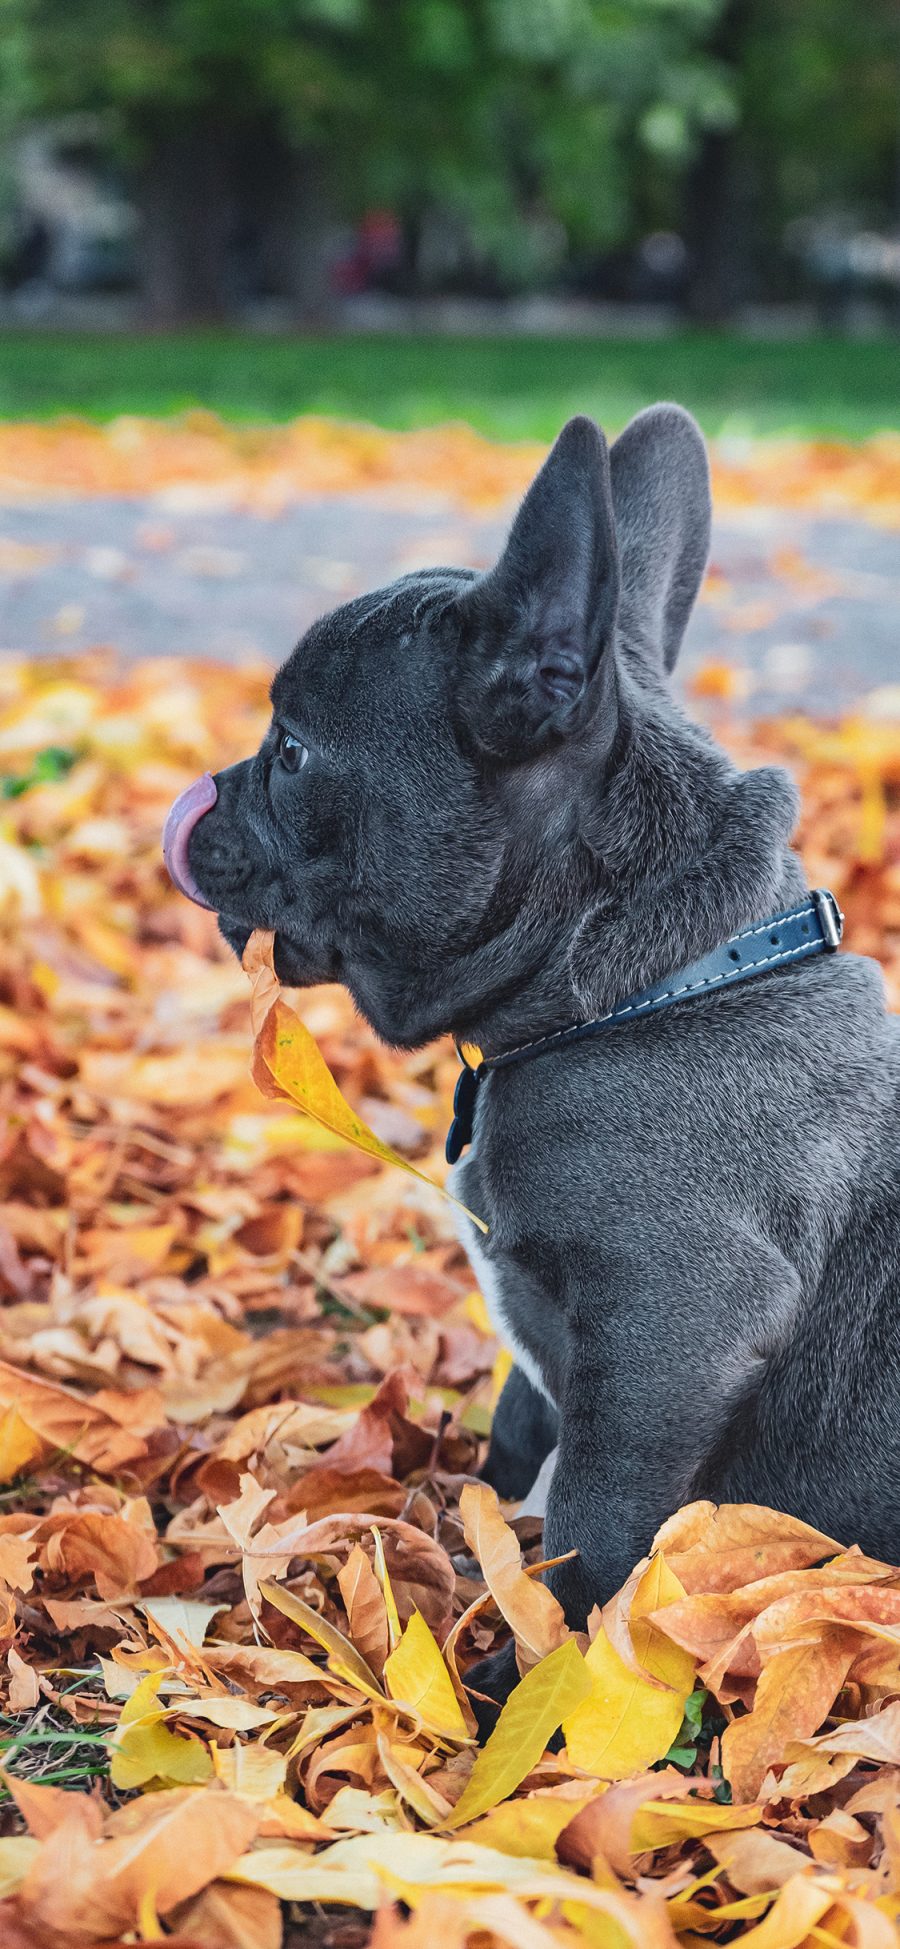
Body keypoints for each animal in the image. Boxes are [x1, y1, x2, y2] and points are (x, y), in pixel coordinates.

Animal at [163, 403, 900, 1715]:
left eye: (292, 752)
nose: (205, 793)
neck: (644, 983)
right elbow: (522, 1416)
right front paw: (468, 1507)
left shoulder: (674, 1324)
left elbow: (600, 1518)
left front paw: (538, 1674)